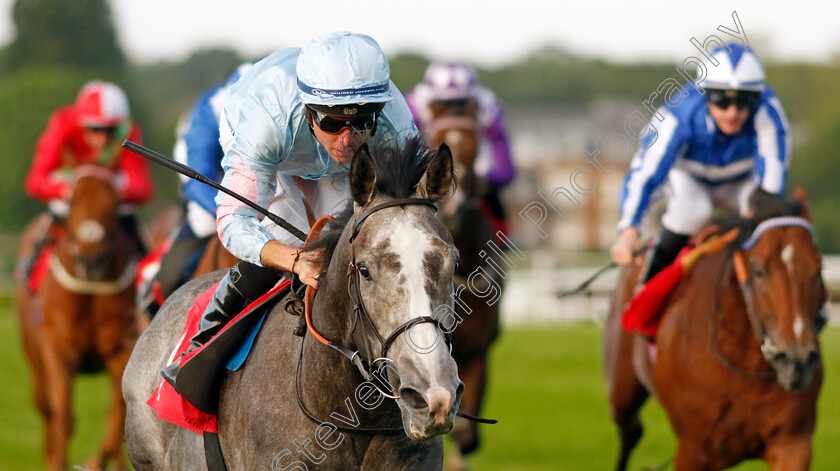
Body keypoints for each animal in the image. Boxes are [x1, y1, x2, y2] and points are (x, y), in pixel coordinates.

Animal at [14, 164, 141, 470]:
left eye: (114, 204)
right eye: (72, 201)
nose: (91, 259)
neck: (90, 291)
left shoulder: (122, 350)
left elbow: (117, 416)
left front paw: (95, 462)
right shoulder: (58, 352)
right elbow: (64, 417)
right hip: (35, 361)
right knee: (47, 411)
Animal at [608, 194, 824, 470]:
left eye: (818, 269)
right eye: (757, 269)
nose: (797, 361)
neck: (745, 367)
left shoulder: (793, 442)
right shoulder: (692, 448)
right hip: (622, 386)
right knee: (629, 430)